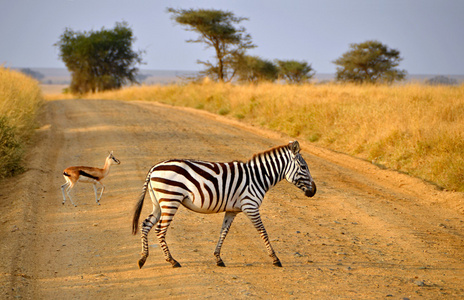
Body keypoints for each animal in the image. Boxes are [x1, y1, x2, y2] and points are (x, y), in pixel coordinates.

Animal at [132, 141, 318, 268]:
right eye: (303, 167)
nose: (314, 191)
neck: (259, 177)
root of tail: (154, 168)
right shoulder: (250, 206)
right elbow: (263, 231)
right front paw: (275, 259)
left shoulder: (231, 211)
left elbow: (224, 232)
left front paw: (218, 258)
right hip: (170, 200)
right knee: (159, 230)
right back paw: (172, 261)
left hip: (158, 203)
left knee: (146, 224)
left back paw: (142, 258)